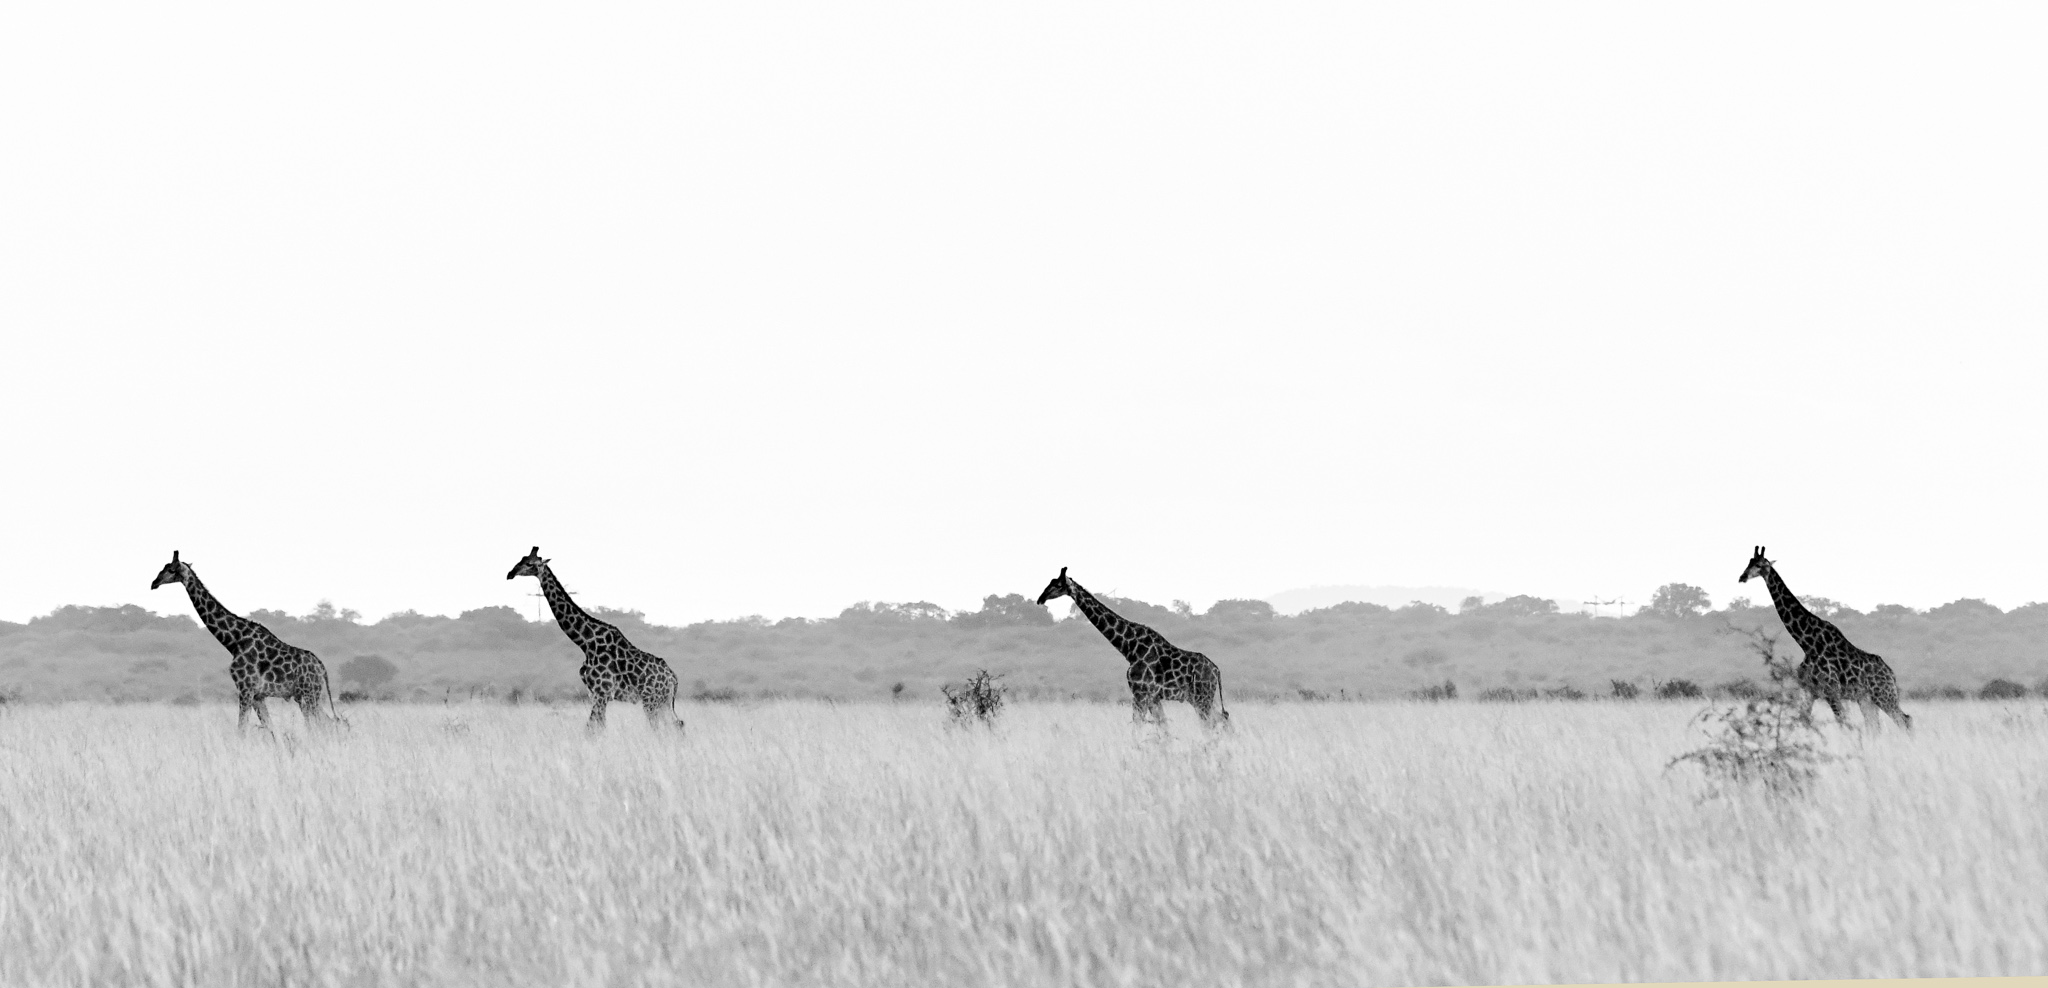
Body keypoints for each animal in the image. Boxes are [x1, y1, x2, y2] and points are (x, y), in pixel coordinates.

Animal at [149, 550, 342, 734]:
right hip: (305, 695)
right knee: (328, 723)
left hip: (308, 694)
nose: (154, 583)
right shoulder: (257, 695)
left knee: (322, 726)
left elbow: (241, 730)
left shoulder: (245, 689)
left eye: (171, 569)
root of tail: (321, 667)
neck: (234, 641)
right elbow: (271, 730)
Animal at [507, 547, 683, 734]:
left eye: (530, 564)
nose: (510, 574)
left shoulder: (602, 692)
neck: (586, 642)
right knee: (677, 724)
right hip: (663, 701)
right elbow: (598, 727)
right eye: (521, 559)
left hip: (651, 700)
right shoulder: (594, 694)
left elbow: (592, 729)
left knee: (659, 727)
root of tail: (673, 677)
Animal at [1036, 567, 1230, 729]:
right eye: (1050, 582)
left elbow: (1139, 726)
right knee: (1222, 720)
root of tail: (1217, 670)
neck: (1129, 648)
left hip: (1202, 697)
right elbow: (1162, 728)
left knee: (1212, 724)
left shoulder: (1140, 693)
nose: (1040, 599)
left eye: (1057, 585)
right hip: (1201, 698)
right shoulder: (1151, 697)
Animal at [1739, 546, 1911, 730]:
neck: (1807, 643)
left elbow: (1843, 723)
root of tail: (1891, 673)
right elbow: (1804, 721)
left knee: (1905, 721)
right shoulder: (1808, 690)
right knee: (1875, 727)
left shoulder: (1831, 691)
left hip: (1884, 695)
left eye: (1759, 565)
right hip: (1866, 699)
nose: (1742, 577)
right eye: (1749, 562)